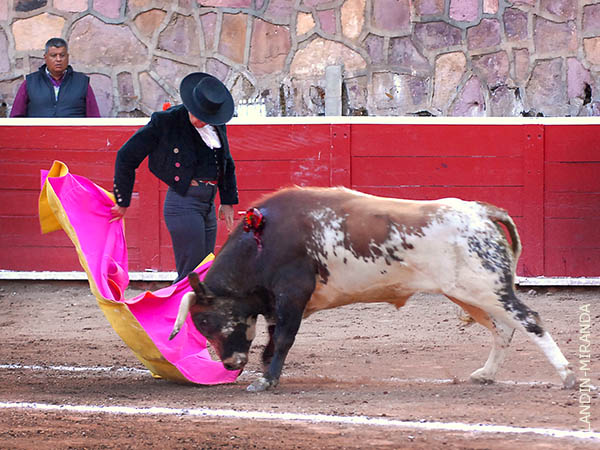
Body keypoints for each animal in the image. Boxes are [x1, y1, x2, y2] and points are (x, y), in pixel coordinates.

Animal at [169, 185, 576, 390]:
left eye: (203, 321)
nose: (230, 364)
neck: (262, 240)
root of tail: (480, 211)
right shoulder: (278, 303)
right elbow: (272, 337)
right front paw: (266, 369)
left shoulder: (292, 294)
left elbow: (283, 337)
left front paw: (266, 381)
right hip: (470, 293)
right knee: (504, 329)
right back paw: (486, 375)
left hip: (488, 288)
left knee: (530, 320)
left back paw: (568, 376)